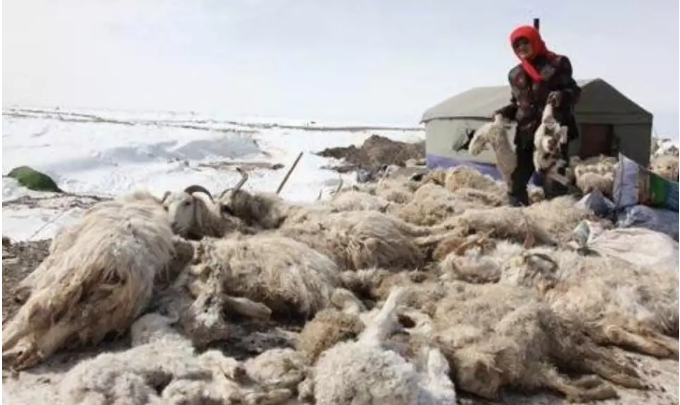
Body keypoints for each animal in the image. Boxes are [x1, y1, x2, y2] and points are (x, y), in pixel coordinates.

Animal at [410, 280, 648, 400]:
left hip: (543, 355)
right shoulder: (553, 347)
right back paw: (619, 380)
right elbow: (587, 362)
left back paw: (618, 379)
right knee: (577, 374)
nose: (494, 395)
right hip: (542, 357)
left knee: (579, 370)